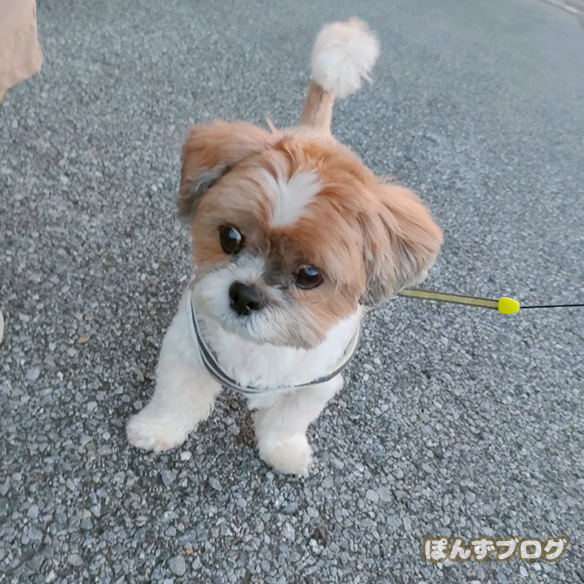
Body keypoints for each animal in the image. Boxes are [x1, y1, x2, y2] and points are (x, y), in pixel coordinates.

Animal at [126, 18, 442, 476]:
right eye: (229, 237)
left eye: (309, 275)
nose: (245, 294)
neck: (259, 351)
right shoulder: (189, 347)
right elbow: (176, 397)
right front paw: (155, 429)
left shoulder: (314, 383)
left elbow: (287, 419)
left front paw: (284, 451)